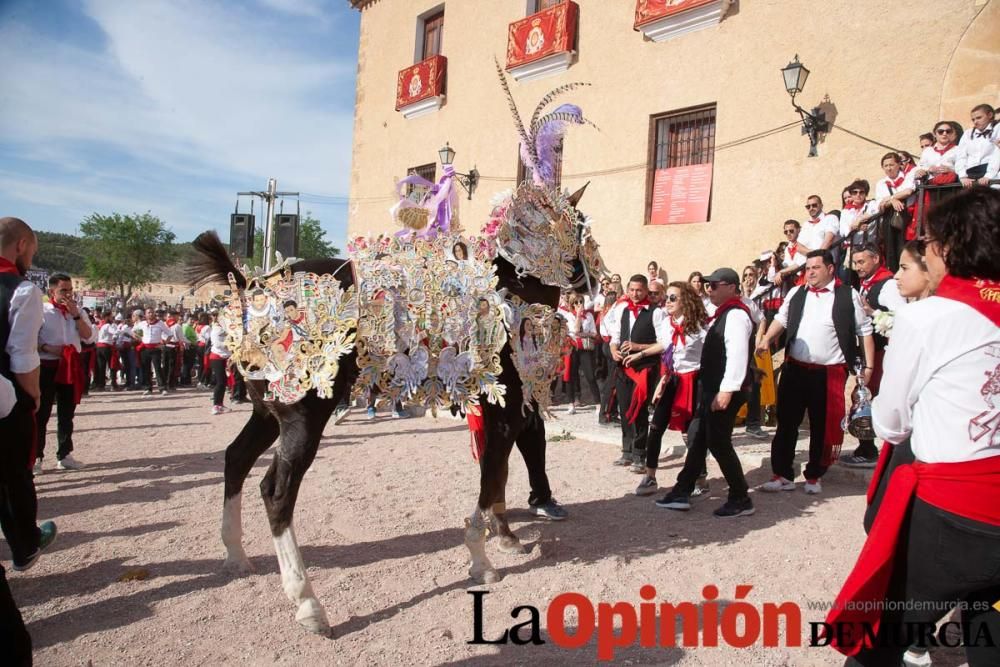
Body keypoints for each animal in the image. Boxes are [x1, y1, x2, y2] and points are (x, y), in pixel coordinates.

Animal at [184, 69, 604, 636]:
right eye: (572, 224)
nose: (593, 279)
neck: (506, 291)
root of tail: (252, 288)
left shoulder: (502, 409)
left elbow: (498, 471)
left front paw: (500, 538)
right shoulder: (502, 412)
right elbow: (492, 473)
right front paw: (481, 556)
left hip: (267, 410)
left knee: (235, 460)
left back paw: (235, 554)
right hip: (303, 415)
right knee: (276, 491)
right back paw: (308, 603)